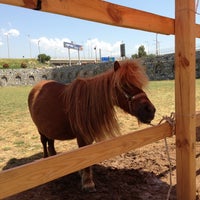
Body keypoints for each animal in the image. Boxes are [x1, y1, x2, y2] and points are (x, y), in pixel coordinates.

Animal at [28, 59, 155, 192]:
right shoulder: (82, 137)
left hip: (50, 129)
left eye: (139, 84)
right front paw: (88, 182)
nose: (150, 110)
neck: (87, 103)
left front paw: (83, 175)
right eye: (124, 85)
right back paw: (46, 159)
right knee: (44, 142)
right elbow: (85, 157)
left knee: (51, 143)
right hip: (40, 129)